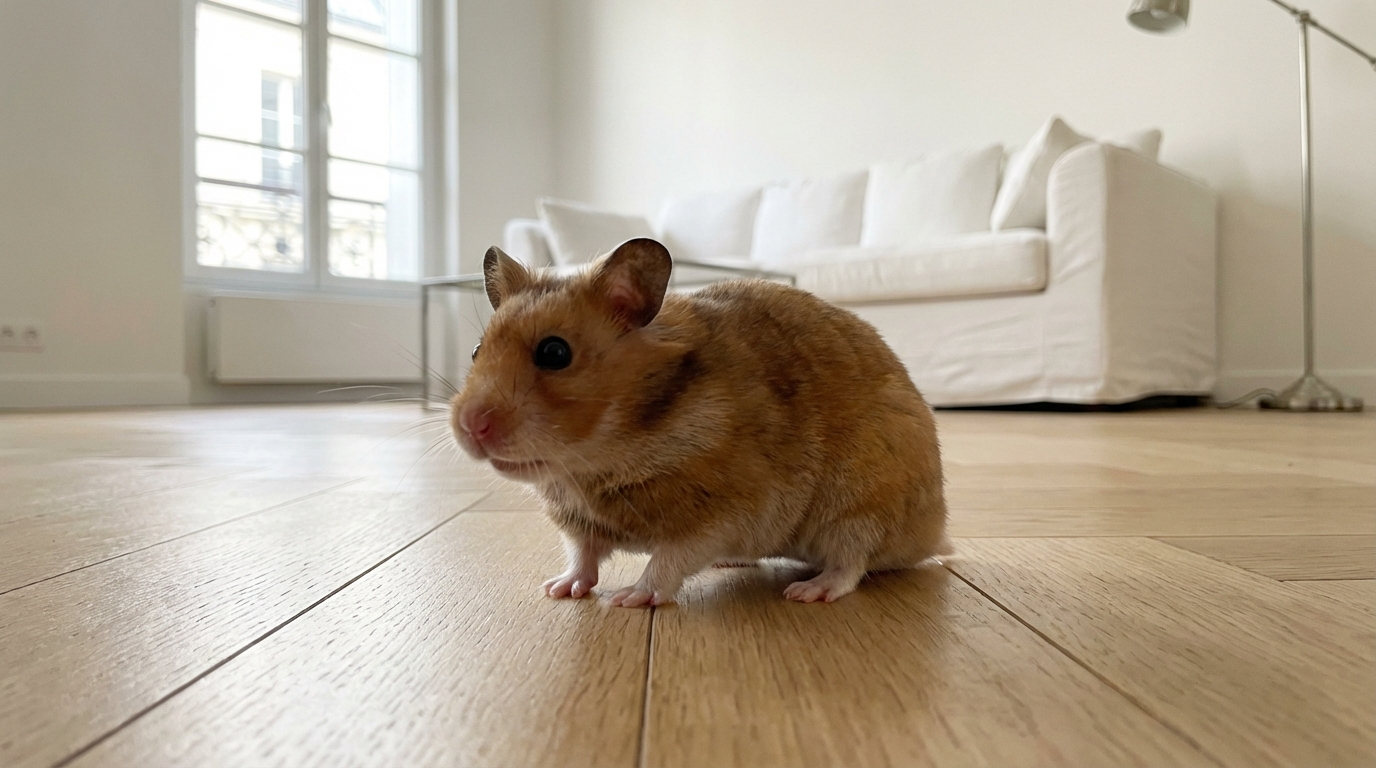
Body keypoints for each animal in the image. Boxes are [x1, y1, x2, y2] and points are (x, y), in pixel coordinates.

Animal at [450, 238, 948, 607]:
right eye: (475, 351)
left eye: (555, 353)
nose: (470, 427)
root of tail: (933, 534)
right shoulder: (579, 521)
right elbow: (581, 558)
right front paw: (557, 590)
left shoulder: (721, 514)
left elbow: (667, 563)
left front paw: (628, 599)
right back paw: (730, 565)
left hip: (859, 504)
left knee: (850, 563)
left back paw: (807, 591)